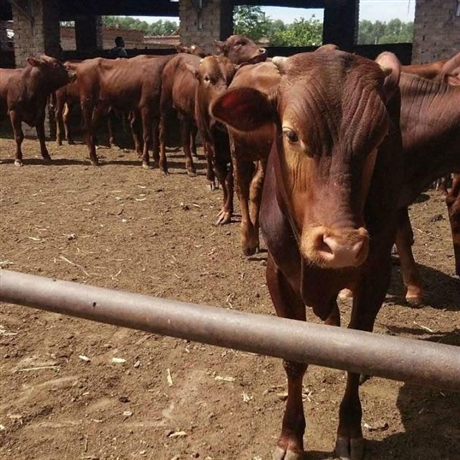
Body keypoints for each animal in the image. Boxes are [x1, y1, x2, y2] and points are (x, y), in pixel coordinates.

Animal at [212, 50, 402, 460]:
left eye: (379, 137)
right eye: (290, 134)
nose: (342, 245)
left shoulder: (375, 273)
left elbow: (357, 350)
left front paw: (349, 430)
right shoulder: (280, 275)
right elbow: (294, 359)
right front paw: (291, 436)